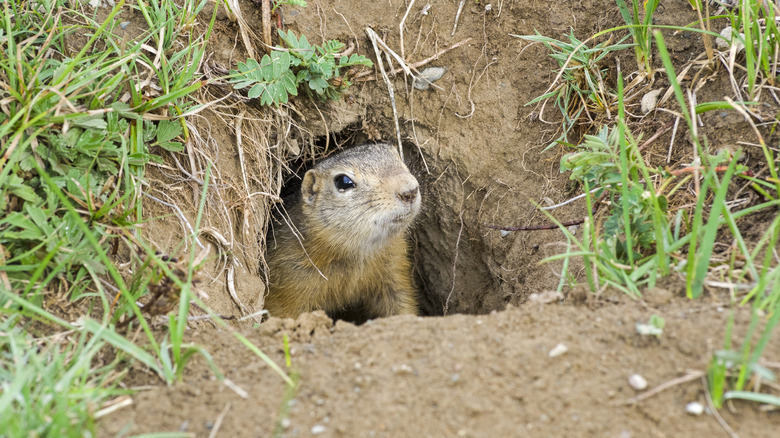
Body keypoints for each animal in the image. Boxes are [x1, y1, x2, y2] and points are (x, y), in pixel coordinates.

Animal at [263, 143, 421, 321]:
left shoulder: (394, 269)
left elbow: (401, 302)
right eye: (343, 182)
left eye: (397, 155)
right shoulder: (287, 286)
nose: (410, 190)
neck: (357, 254)